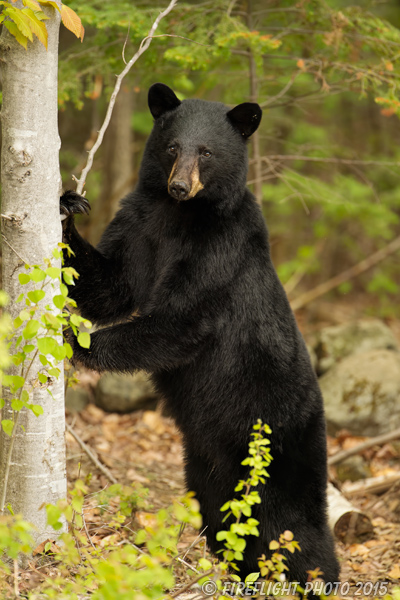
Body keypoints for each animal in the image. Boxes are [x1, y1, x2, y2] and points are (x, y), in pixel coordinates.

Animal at [61, 82, 340, 584]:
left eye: (207, 152)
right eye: (173, 147)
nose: (179, 185)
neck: (179, 216)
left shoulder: (219, 250)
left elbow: (179, 321)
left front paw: (74, 339)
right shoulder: (140, 224)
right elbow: (111, 285)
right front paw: (67, 208)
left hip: (277, 450)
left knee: (293, 527)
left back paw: (315, 577)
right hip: (206, 462)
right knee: (223, 512)